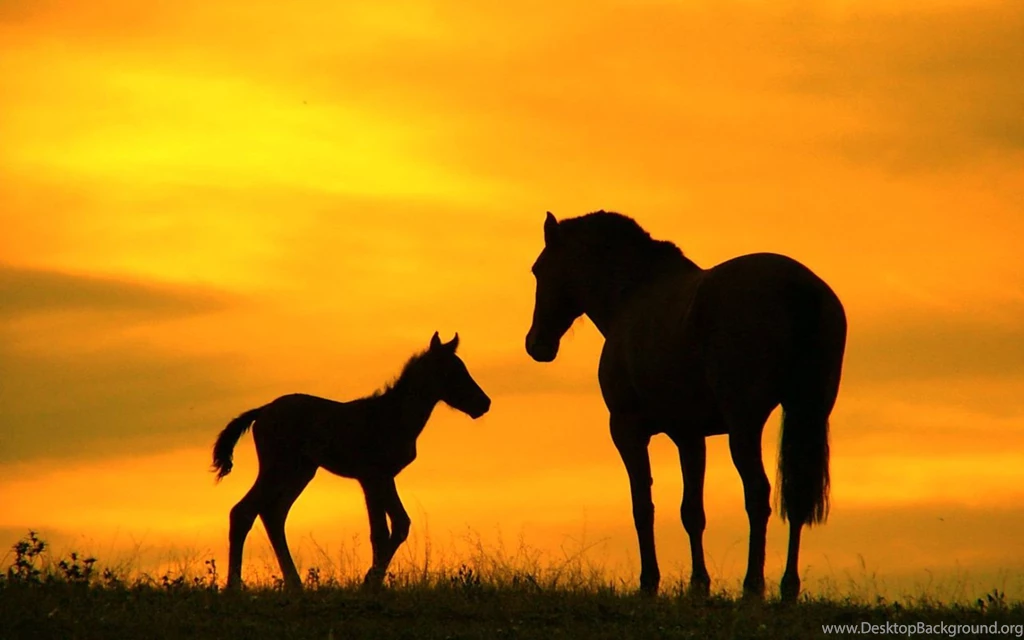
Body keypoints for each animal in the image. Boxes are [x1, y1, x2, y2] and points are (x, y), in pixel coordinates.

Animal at [211, 332, 491, 590]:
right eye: (452, 372)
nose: (484, 403)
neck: (393, 416)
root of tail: (262, 412)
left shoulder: (379, 478)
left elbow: (393, 526)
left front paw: (372, 581)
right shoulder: (374, 476)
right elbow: (387, 530)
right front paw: (370, 583)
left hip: (300, 472)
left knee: (273, 514)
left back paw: (294, 584)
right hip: (277, 468)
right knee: (243, 512)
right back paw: (234, 586)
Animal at [525, 211, 846, 601]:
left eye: (538, 270)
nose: (536, 344)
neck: (632, 296)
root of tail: (799, 289)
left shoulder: (627, 429)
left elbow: (642, 505)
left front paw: (649, 582)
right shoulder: (690, 435)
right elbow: (692, 511)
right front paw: (698, 585)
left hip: (745, 424)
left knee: (757, 494)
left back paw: (753, 586)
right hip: (807, 411)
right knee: (796, 496)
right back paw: (788, 588)